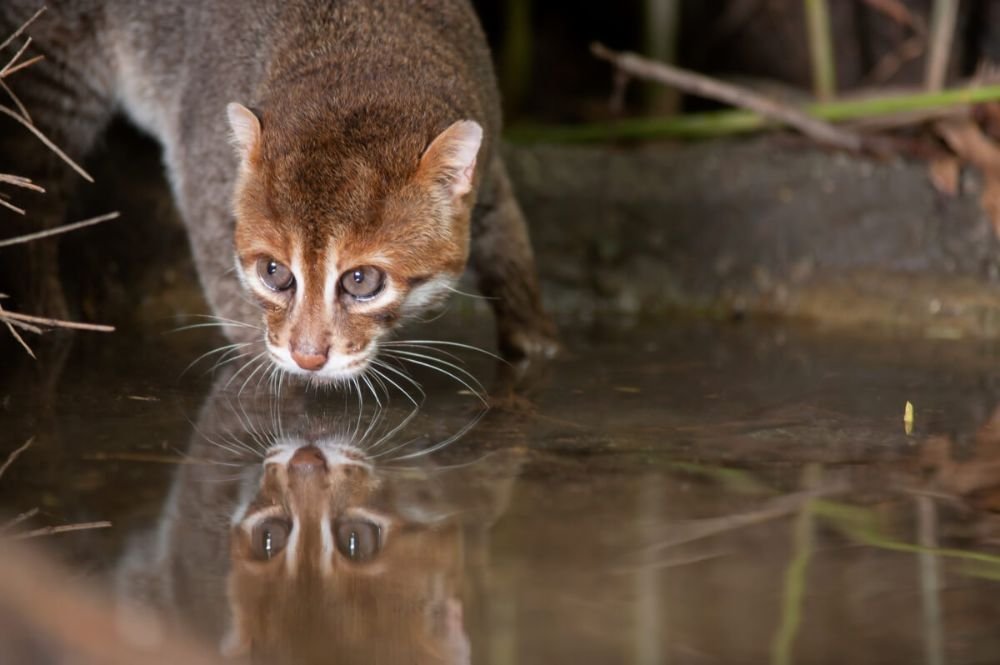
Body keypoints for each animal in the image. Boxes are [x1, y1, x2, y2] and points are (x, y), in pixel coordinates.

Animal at [0, 1, 560, 378]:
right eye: (274, 272)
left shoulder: (488, 174)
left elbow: (512, 251)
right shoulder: (206, 189)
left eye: (362, 280)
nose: (307, 358)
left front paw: (538, 342)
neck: (355, 62)